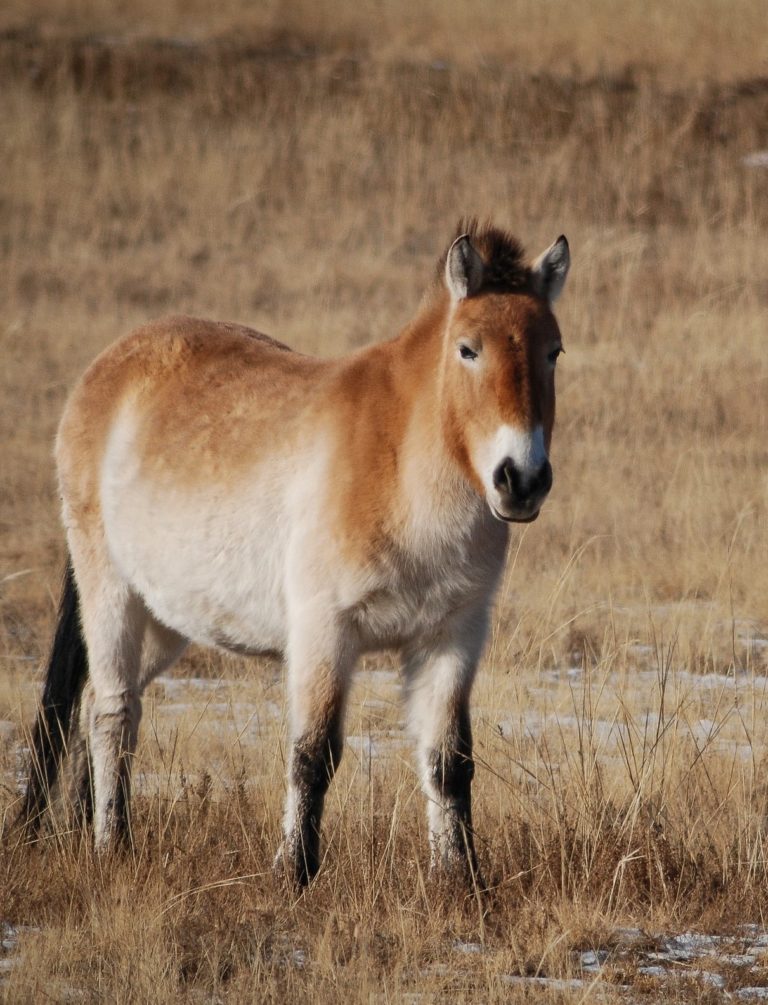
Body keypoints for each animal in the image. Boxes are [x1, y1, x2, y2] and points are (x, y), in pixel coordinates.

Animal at [17, 220, 570, 888]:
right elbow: (314, 754)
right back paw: (111, 847)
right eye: (468, 349)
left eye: (553, 351)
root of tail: (106, 368)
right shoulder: (324, 631)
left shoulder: (452, 637)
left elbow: (448, 761)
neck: (400, 465)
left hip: (164, 619)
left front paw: (462, 881)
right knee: (112, 714)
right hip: (109, 592)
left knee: (95, 708)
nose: (521, 480)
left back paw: (81, 832)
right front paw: (295, 875)